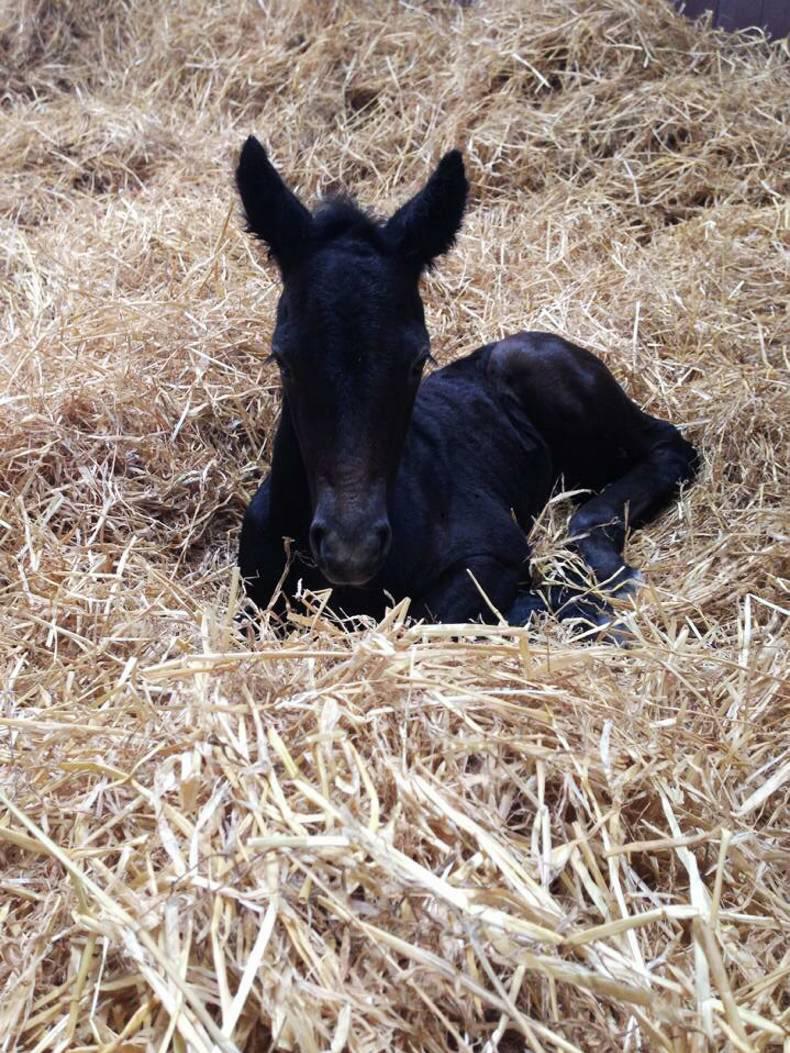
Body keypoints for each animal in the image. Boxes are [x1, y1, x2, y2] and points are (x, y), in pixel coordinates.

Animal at [235, 136, 698, 628]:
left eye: (418, 360)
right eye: (284, 359)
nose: (351, 551)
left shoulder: (493, 551)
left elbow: (426, 617)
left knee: (667, 446)